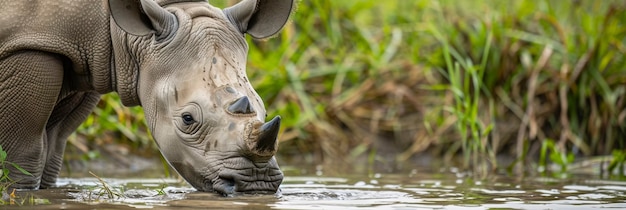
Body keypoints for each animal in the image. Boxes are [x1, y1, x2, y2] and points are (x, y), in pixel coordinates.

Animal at [0, 0, 292, 195]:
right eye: (187, 119)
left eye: (265, 111)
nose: (256, 184)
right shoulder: (31, 42)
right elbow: (22, 150)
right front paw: (18, 194)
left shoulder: (82, 58)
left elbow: (53, 148)